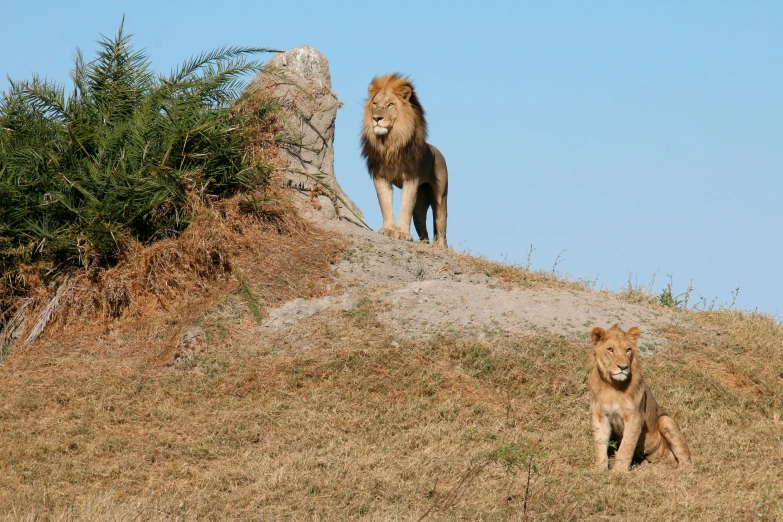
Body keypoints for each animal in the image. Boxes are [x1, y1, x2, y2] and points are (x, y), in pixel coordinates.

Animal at [360, 71, 448, 248]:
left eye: (390, 104)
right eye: (375, 104)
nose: (376, 118)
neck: (390, 142)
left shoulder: (410, 178)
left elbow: (405, 207)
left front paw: (402, 234)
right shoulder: (380, 177)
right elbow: (385, 205)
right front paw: (388, 230)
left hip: (440, 198)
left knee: (441, 227)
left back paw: (441, 247)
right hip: (420, 204)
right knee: (423, 229)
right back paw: (424, 243)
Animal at [588, 322, 692, 470]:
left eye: (628, 350)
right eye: (610, 349)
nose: (623, 367)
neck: (613, 387)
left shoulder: (635, 418)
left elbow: (626, 447)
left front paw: (618, 471)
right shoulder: (599, 416)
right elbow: (599, 444)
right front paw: (599, 470)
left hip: (666, 421)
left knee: (685, 459)